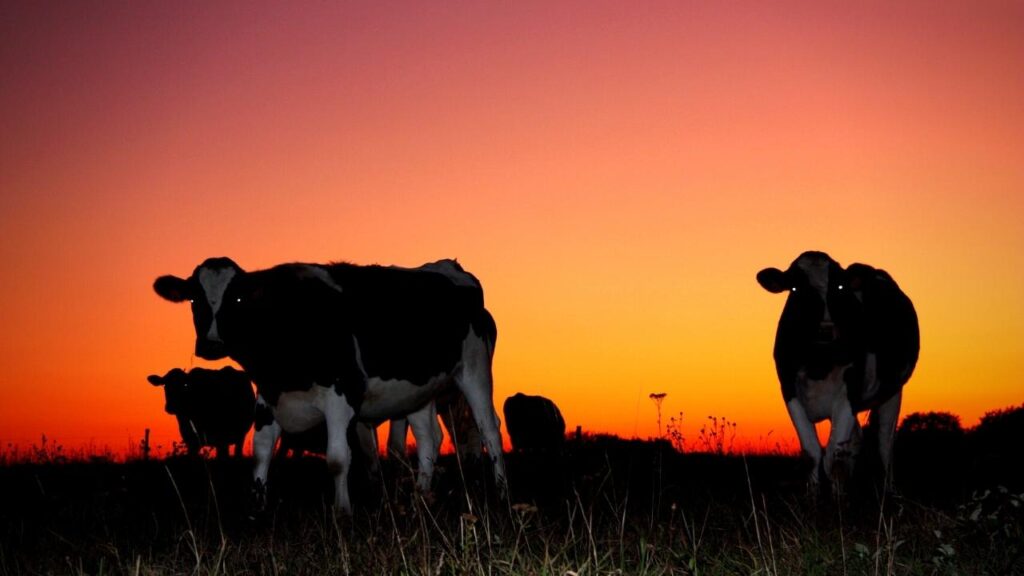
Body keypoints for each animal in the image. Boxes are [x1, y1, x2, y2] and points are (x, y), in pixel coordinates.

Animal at [151, 255, 503, 510]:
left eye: (237, 299)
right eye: (194, 300)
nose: (210, 345)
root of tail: (449, 267)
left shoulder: (341, 395)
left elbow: (337, 458)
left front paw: (342, 511)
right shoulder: (268, 398)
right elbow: (262, 454)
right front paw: (257, 507)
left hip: (474, 371)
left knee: (490, 430)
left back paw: (501, 491)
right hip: (418, 390)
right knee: (429, 440)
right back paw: (419, 497)